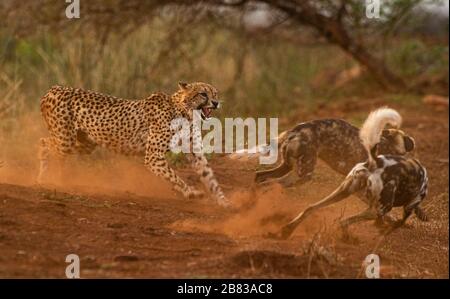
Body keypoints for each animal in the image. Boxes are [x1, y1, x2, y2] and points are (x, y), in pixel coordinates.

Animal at [37, 82, 230, 209]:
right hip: (65, 139)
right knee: (46, 145)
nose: (216, 103)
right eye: (203, 94)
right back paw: (50, 178)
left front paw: (224, 201)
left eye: (215, 94)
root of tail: (54, 89)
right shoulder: (153, 157)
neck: (186, 112)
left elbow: (210, 178)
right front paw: (192, 193)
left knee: (45, 142)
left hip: (86, 144)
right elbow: (174, 176)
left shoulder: (195, 154)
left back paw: (47, 176)